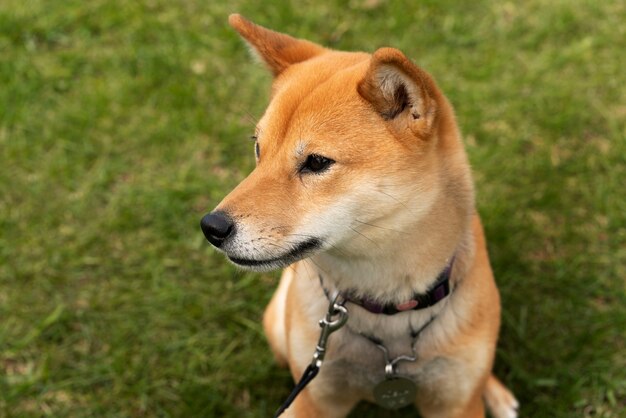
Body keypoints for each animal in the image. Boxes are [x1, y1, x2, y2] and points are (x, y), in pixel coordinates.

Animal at [200, 13, 516, 418]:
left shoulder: (454, 404)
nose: (211, 227)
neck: (387, 309)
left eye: (317, 162)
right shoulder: (315, 399)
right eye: (259, 149)